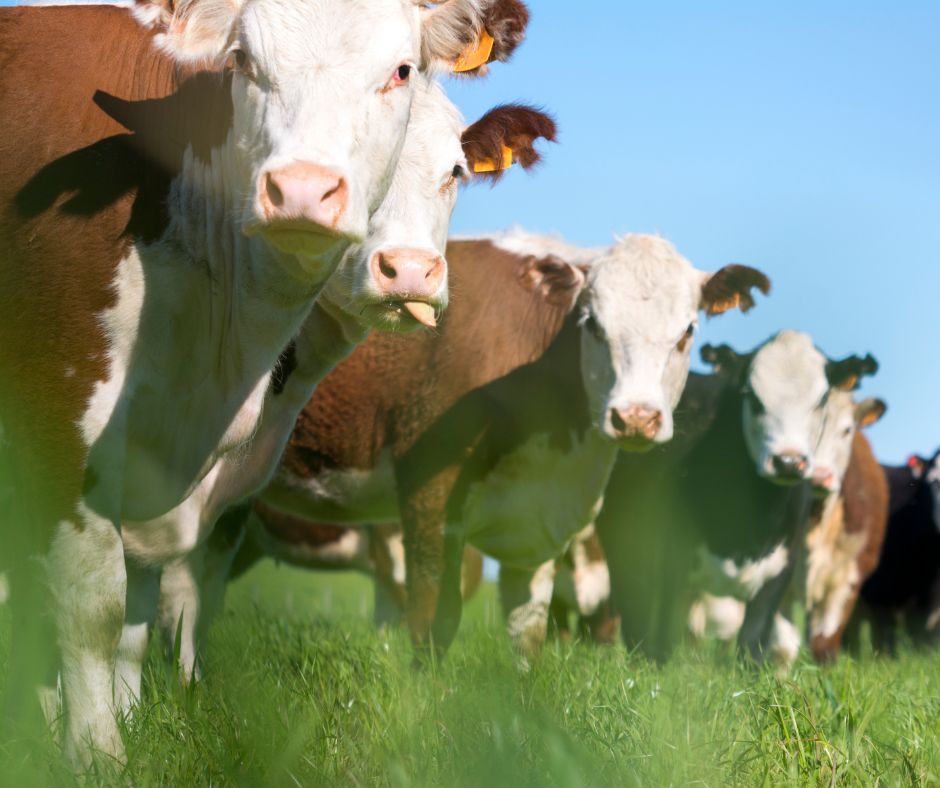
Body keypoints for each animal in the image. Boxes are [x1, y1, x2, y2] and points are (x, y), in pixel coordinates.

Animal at [0, 0, 525, 764]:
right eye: (242, 61)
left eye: (454, 170)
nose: (410, 271)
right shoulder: (61, 413)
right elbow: (92, 604)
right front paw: (96, 753)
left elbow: (143, 613)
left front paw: (131, 717)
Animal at [158, 230, 770, 666]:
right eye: (593, 324)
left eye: (686, 332)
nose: (636, 418)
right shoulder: (428, 486)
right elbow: (433, 617)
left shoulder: (539, 519)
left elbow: (527, 633)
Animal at [597, 332, 880, 664]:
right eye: (752, 396)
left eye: (821, 399)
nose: (788, 462)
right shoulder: (670, 560)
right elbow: (663, 636)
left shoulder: (779, 575)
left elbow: (753, 644)